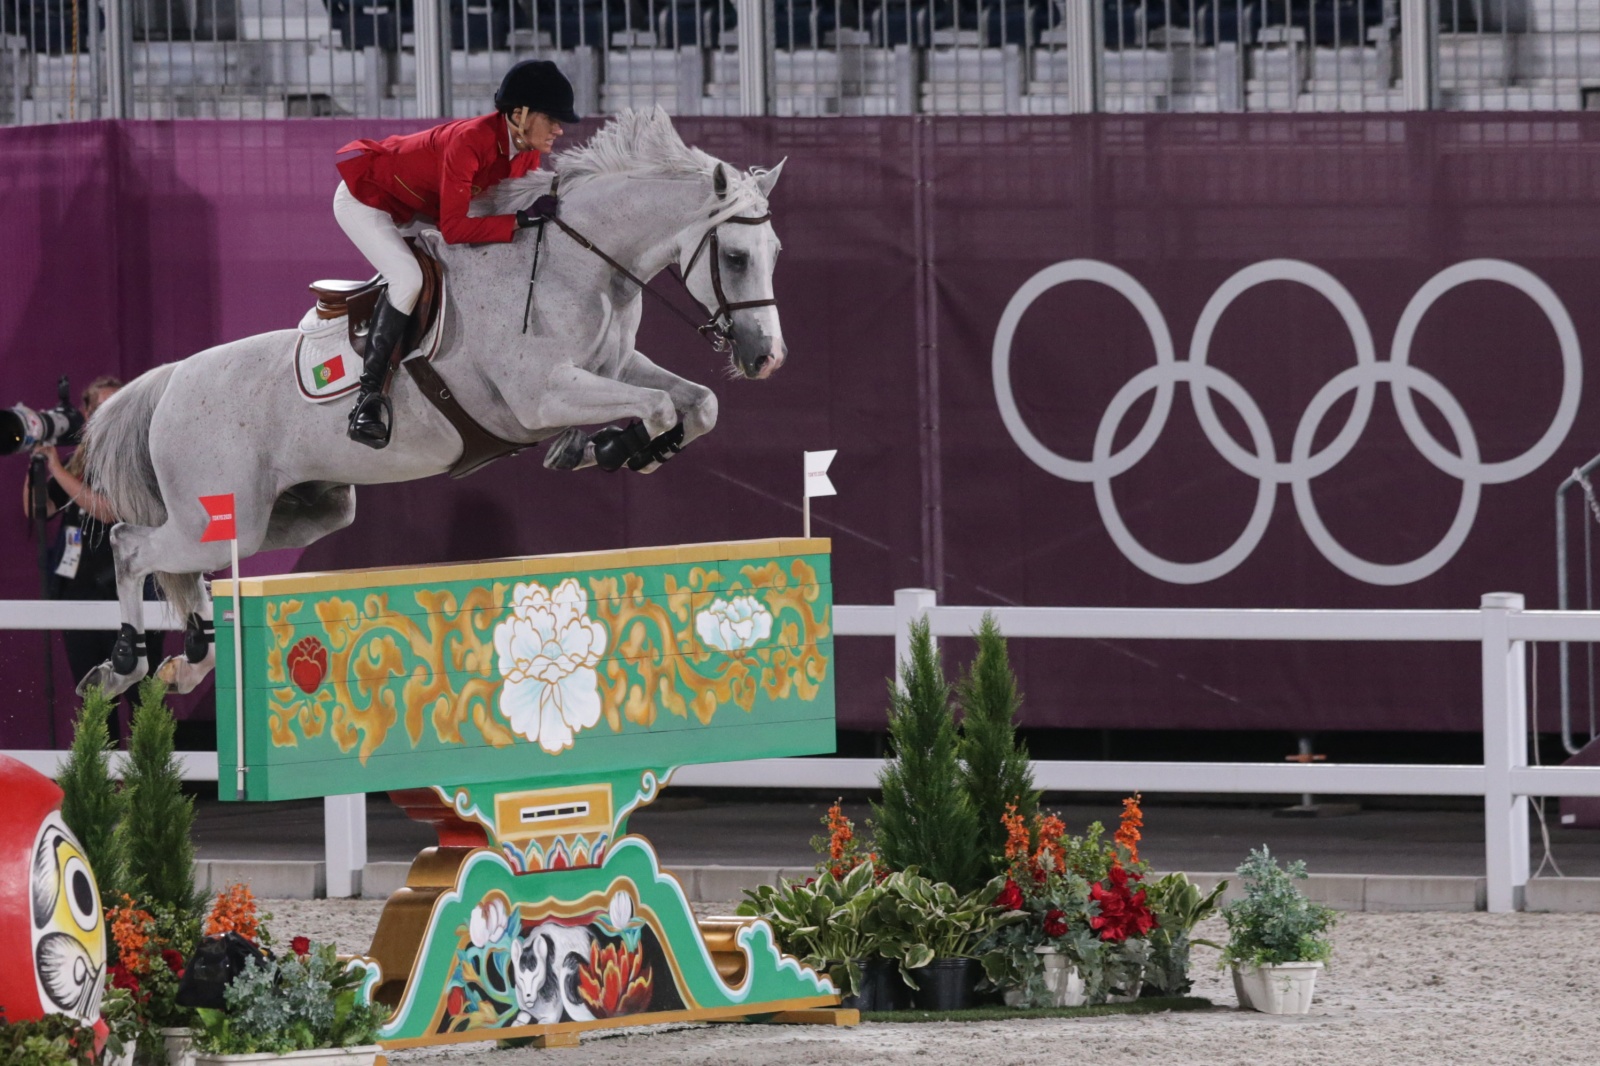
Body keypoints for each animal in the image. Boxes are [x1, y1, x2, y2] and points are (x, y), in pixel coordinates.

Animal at [81, 109, 787, 697]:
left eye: (775, 253)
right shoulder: (542, 395)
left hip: (297, 513)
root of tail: (170, 380)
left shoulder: (611, 367)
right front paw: (616, 446)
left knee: (194, 566)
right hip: (223, 513)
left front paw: (614, 449)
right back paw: (123, 665)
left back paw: (189, 660)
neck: (577, 266)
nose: (767, 358)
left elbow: (696, 404)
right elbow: (660, 407)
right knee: (130, 544)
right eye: (733, 256)